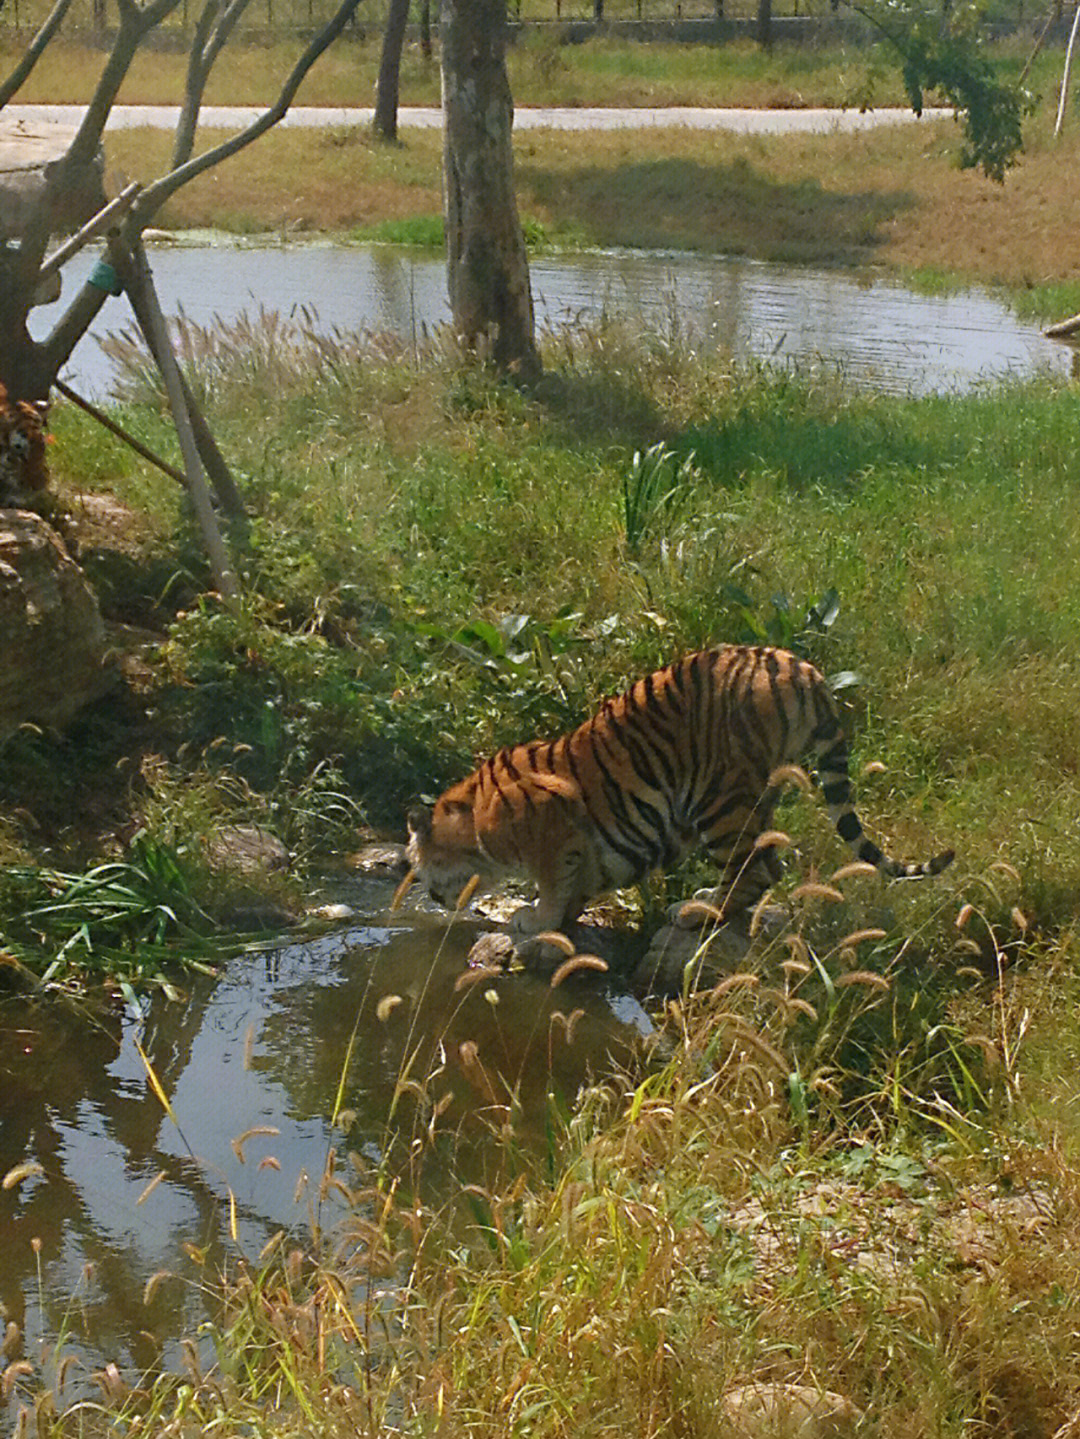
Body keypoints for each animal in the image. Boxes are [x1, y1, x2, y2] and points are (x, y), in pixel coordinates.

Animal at [405, 644, 954, 943]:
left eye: (419, 862)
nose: (428, 895)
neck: (475, 818)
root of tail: (805, 671)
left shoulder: (551, 825)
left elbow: (551, 881)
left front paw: (535, 920)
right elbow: (581, 880)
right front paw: (558, 917)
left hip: (718, 798)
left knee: (754, 869)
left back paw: (698, 912)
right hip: (751, 796)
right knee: (767, 863)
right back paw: (710, 902)